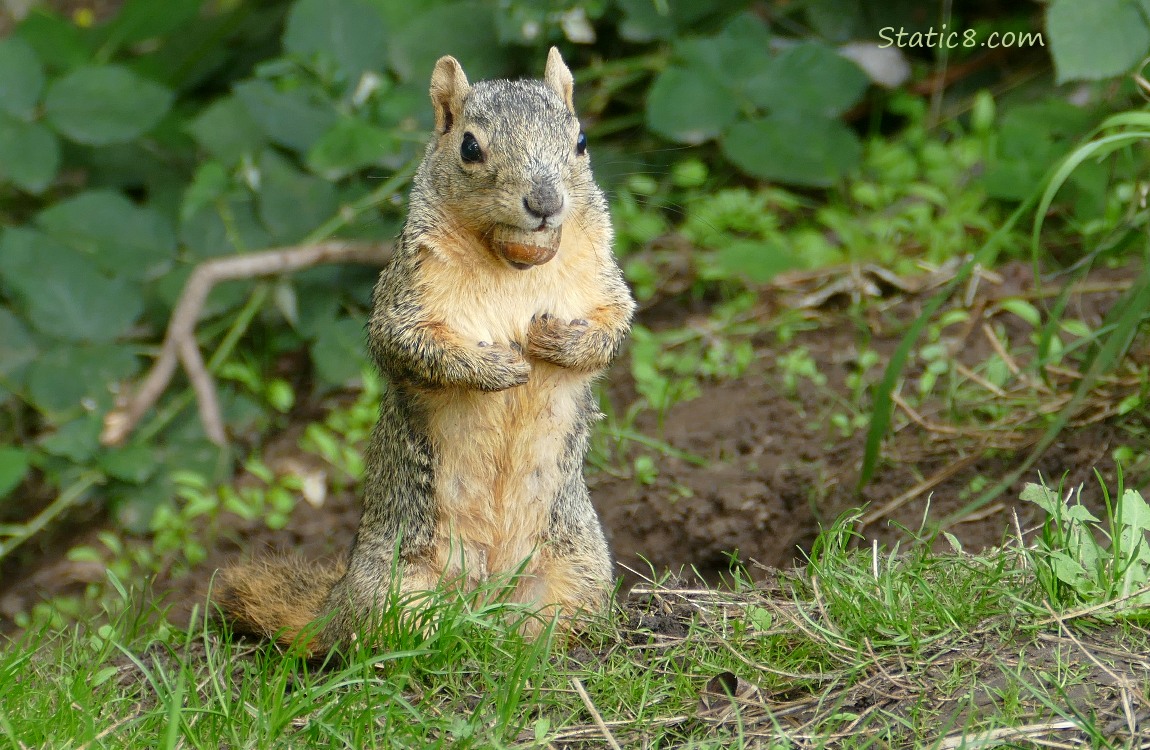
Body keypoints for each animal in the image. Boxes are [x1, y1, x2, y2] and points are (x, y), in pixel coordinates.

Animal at [214, 47, 636, 655]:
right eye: (469, 148)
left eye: (579, 140)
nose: (545, 203)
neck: (511, 260)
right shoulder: (407, 292)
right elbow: (405, 344)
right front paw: (493, 367)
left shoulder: (601, 277)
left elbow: (615, 328)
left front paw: (561, 342)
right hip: (397, 585)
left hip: (578, 566)